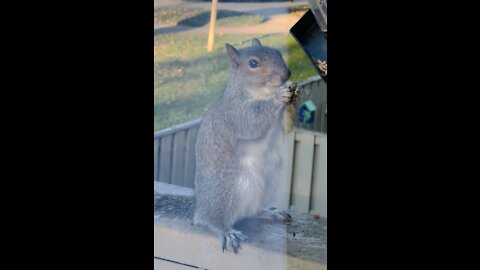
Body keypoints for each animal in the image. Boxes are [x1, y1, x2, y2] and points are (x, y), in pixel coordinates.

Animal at [156, 38, 300, 253]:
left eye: (277, 53)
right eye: (253, 63)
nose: (286, 75)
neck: (260, 92)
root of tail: (199, 206)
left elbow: (286, 126)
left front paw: (293, 95)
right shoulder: (235, 112)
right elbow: (252, 122)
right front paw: (279, 94)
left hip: (269, 182)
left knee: (251, 212)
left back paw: (269, 213)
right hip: (227, 190)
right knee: (208, 220)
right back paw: (225, 231)